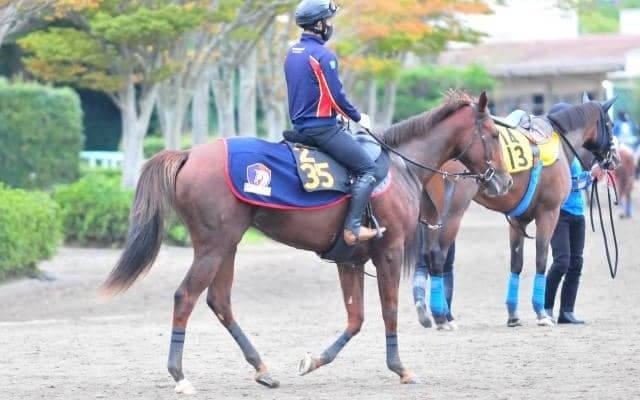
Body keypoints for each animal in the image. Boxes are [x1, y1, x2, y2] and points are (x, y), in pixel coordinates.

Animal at [102, 91, 513, 393]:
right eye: (494, 135)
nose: (505, 181)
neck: (400, 167)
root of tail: (189, 153)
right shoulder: (390, 252)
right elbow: (389, 310)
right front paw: (401, 368)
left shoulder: (349, 259)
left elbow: (355, 319)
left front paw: (315, 361)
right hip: (213, 246)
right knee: (185, 297)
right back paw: (180, 375)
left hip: (226, 246)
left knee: (219, 302)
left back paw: (262, 368)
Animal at [412, 95, 618, 329]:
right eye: (610, 124)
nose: (615, 158)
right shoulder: (549, 212)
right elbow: (541, 259)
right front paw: (541, 313)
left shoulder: (519, 219)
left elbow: (516, 264)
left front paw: (513, 314)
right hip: (452, 214)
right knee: (438, 256)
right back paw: (442, 315)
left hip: (430, 214)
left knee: (426, 257)